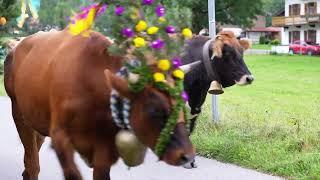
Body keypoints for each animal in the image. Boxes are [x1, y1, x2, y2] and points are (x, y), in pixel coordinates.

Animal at [4, 29, 195, 180]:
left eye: (183, 106)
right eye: (154, 110)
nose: (188, 156)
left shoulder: (105, 147)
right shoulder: (59, 136)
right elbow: (72, 175)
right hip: (19, 113)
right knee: (32, 162)